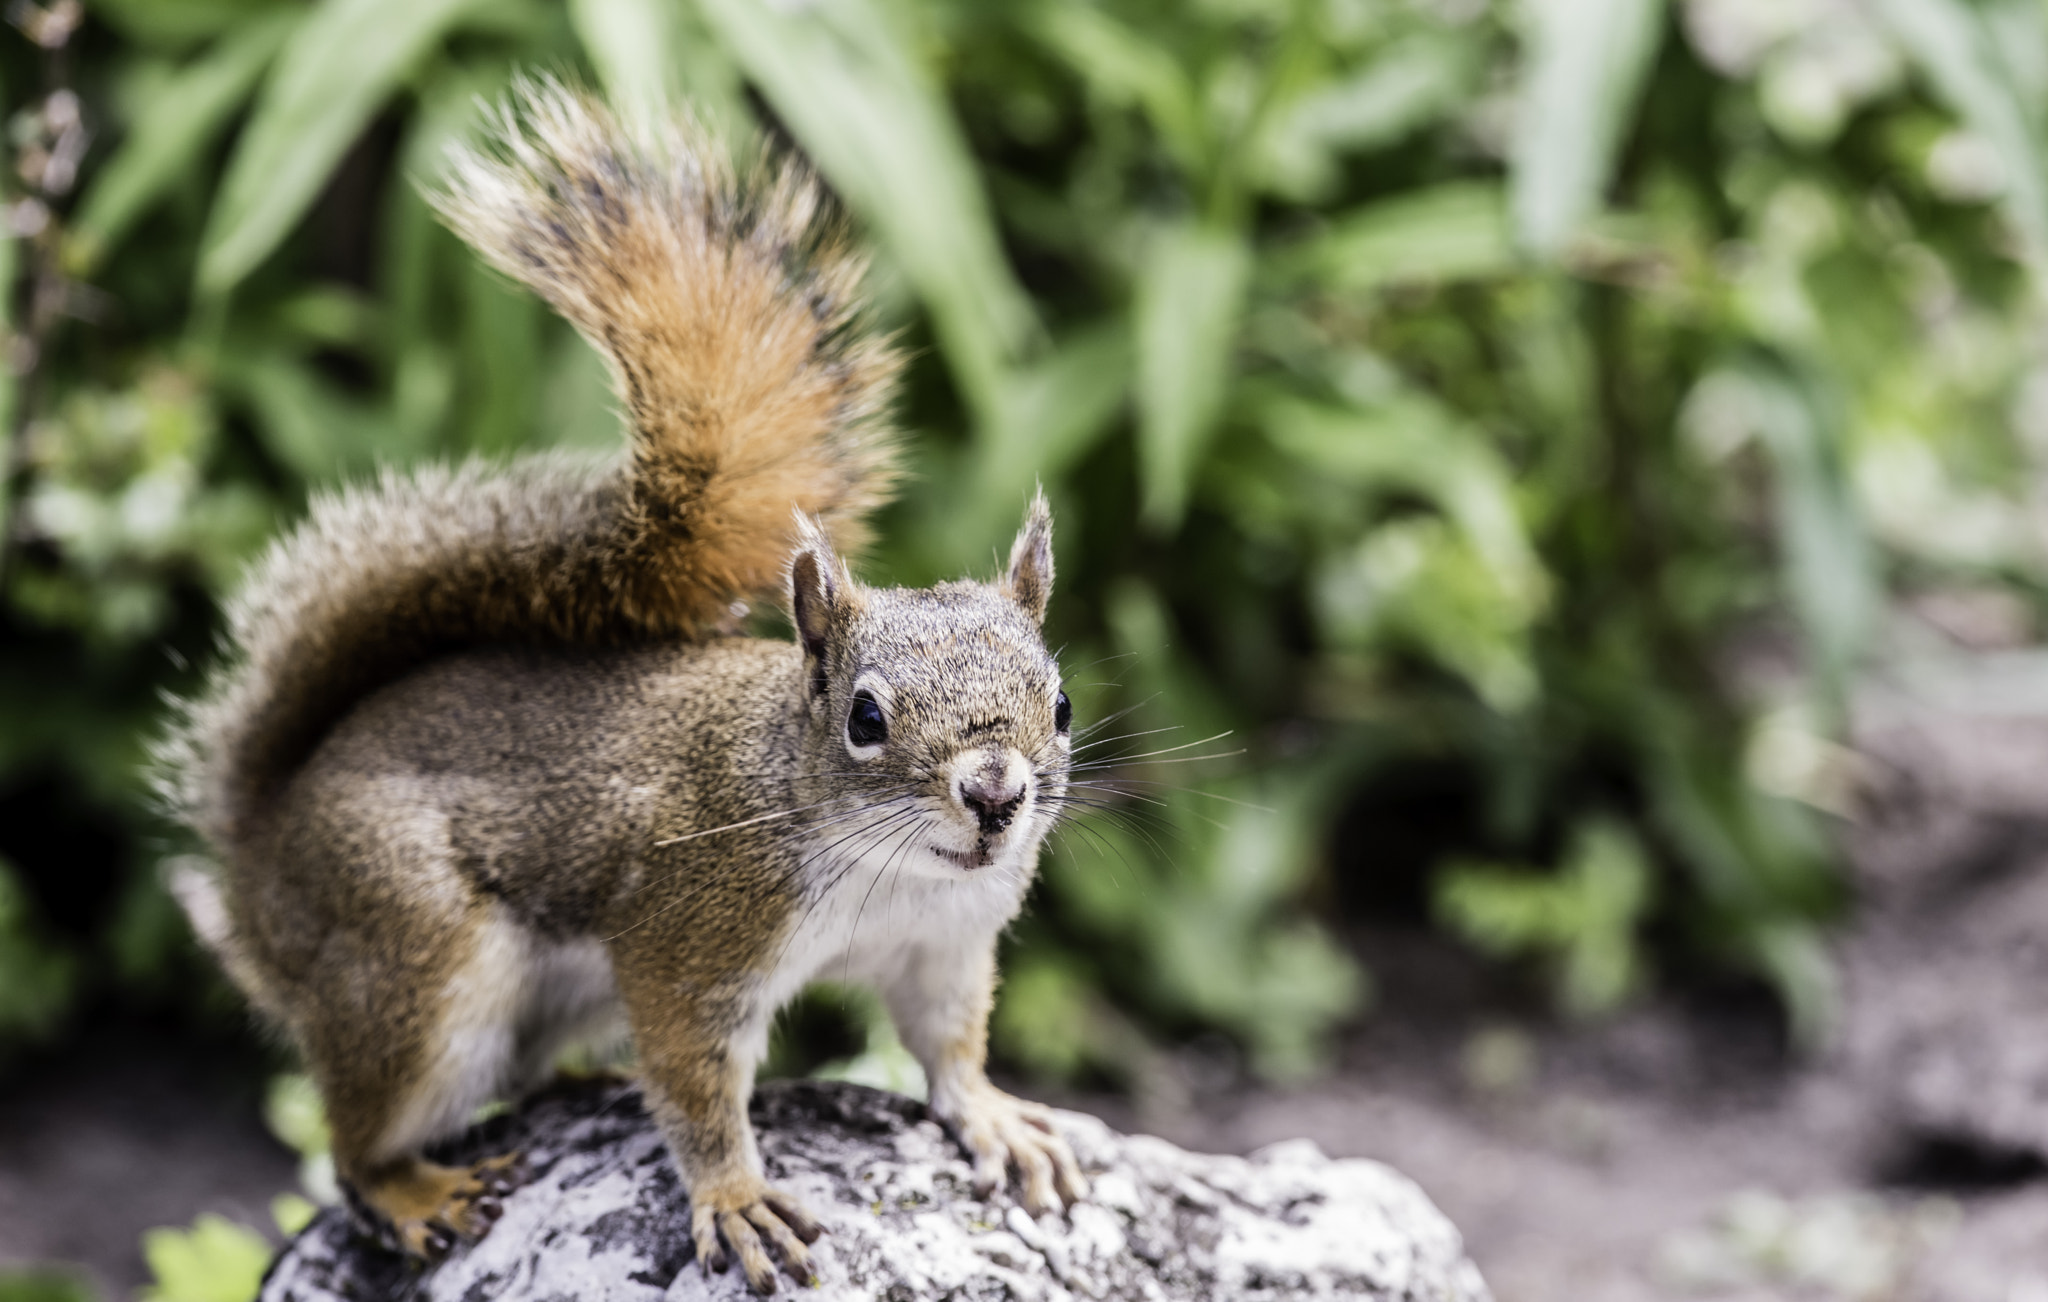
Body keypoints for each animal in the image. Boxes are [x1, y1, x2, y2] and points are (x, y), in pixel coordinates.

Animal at [155, 81, 1089, 1293]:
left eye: (1059, 703)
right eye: (865, 717)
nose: (993, 794)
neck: (890, 873)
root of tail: (259, 866)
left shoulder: (945, 943)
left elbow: (947, 1042)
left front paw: (997, 1116)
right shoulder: (686, 933)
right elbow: (693, 1076)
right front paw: (735, 1197)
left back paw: (585, 1084)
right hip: (410, 952)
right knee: (358, 1136)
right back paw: (415, 1189)